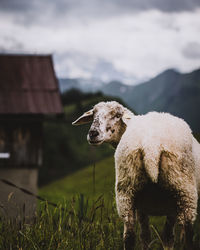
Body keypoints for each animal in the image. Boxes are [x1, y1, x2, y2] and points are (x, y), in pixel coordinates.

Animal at [72, 100, 200, 249]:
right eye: (93, 114)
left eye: (117, 115)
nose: (93, 133)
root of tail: (151, 144)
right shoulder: (165, 207)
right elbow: (166, 237)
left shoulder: (144, 206)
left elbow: (147, 236)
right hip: (182, 190)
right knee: (188, 236)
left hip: (127, 190)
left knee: (129, 236)